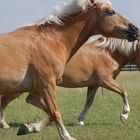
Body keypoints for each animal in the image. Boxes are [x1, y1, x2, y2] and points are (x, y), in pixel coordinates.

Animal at [0, 0, 140, 139]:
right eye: (111, 12)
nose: (135, 29)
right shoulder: (48, 84)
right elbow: (55, 112)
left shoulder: (92, 84)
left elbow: (58, 110)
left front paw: (28, 128)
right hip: (15, 89)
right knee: (5, 101)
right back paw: (4, 124)